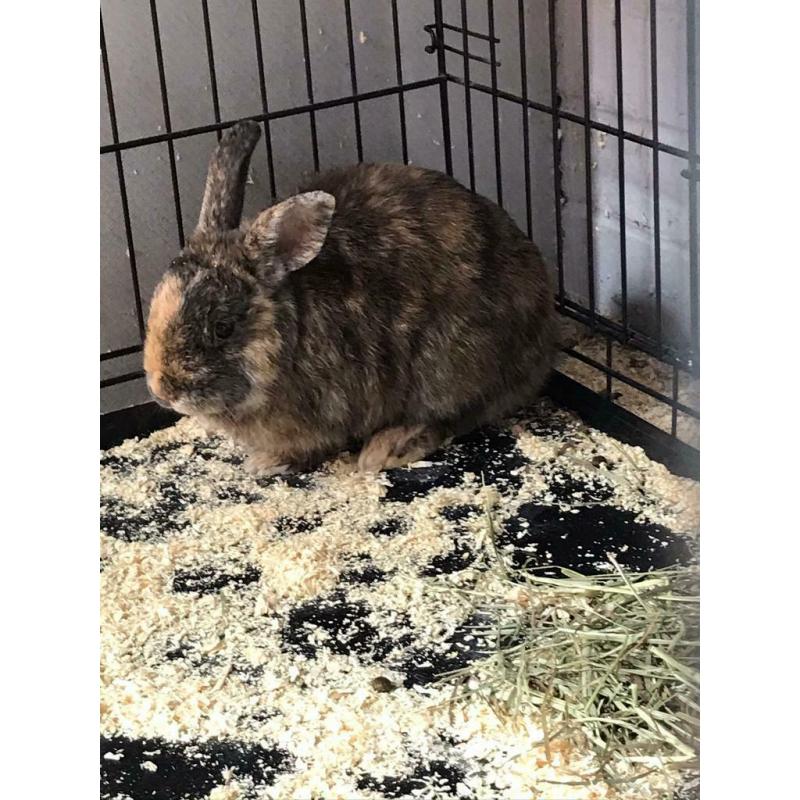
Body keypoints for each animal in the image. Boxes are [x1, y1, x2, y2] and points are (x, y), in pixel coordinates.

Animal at [143, 120, 556, 475]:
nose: (163, 392)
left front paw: (267, 463)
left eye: (223, 327)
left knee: (453, 415)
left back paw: (386, 449)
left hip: (449, 366)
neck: (290, 334)